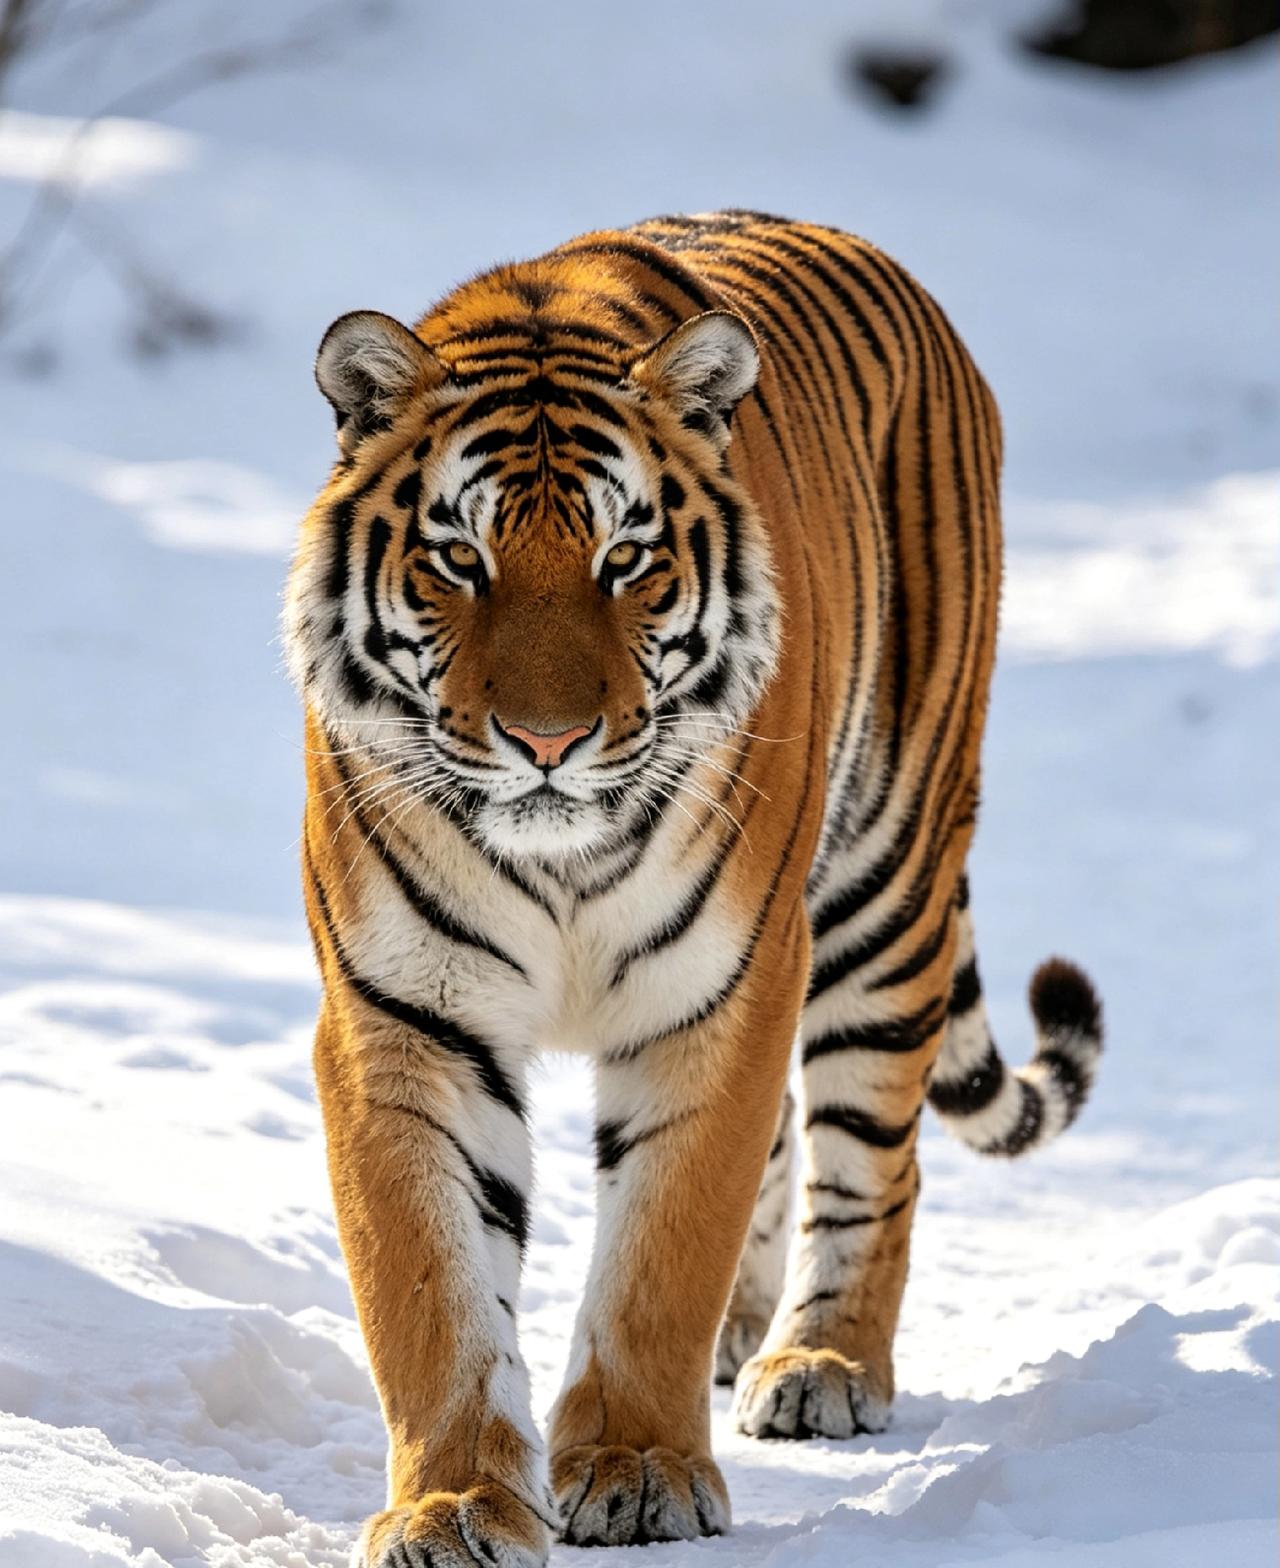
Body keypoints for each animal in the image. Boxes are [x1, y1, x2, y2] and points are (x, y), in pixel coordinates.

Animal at [284, 210, 1103, 1567]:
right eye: (459, 557)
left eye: (625, 559)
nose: (546, 740)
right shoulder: (405, 1016)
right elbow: (430, 1286)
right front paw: (451, 1504)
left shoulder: (720, 989)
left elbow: (664, 1245)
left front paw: (636, 1471)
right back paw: (746, 1335)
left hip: (881, 885)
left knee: (872, 1155)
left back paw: (820, 1361)